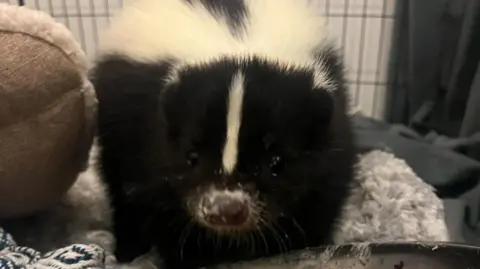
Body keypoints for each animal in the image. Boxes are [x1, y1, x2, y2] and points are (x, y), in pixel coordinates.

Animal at [92, 0, 356, 266]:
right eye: (191, 157)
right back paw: (128, 250)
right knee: (122, 195)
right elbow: (165, 213)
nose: (225, 209)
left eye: (277, 163)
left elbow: (315, 208)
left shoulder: (332, 148)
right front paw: (192, 257)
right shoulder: (147, 141)